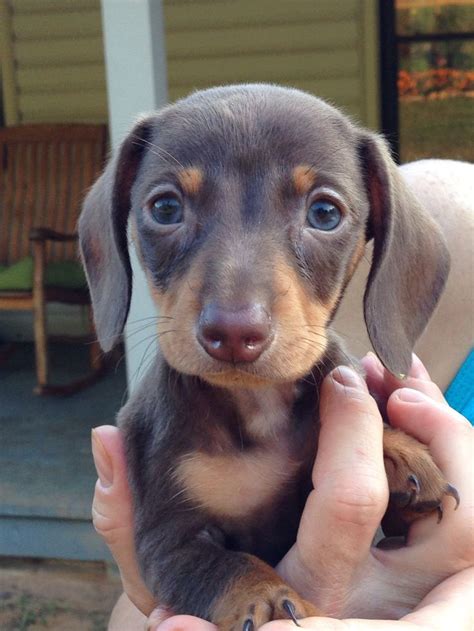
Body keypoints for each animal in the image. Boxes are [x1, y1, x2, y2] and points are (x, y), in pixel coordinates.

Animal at [79, 85, 458, 631]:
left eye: (324, 213)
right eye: (165, 207)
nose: (234, 333)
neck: (258, 407)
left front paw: (397, 448)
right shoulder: (167, 540)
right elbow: (225, 566)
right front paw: (267, 596)